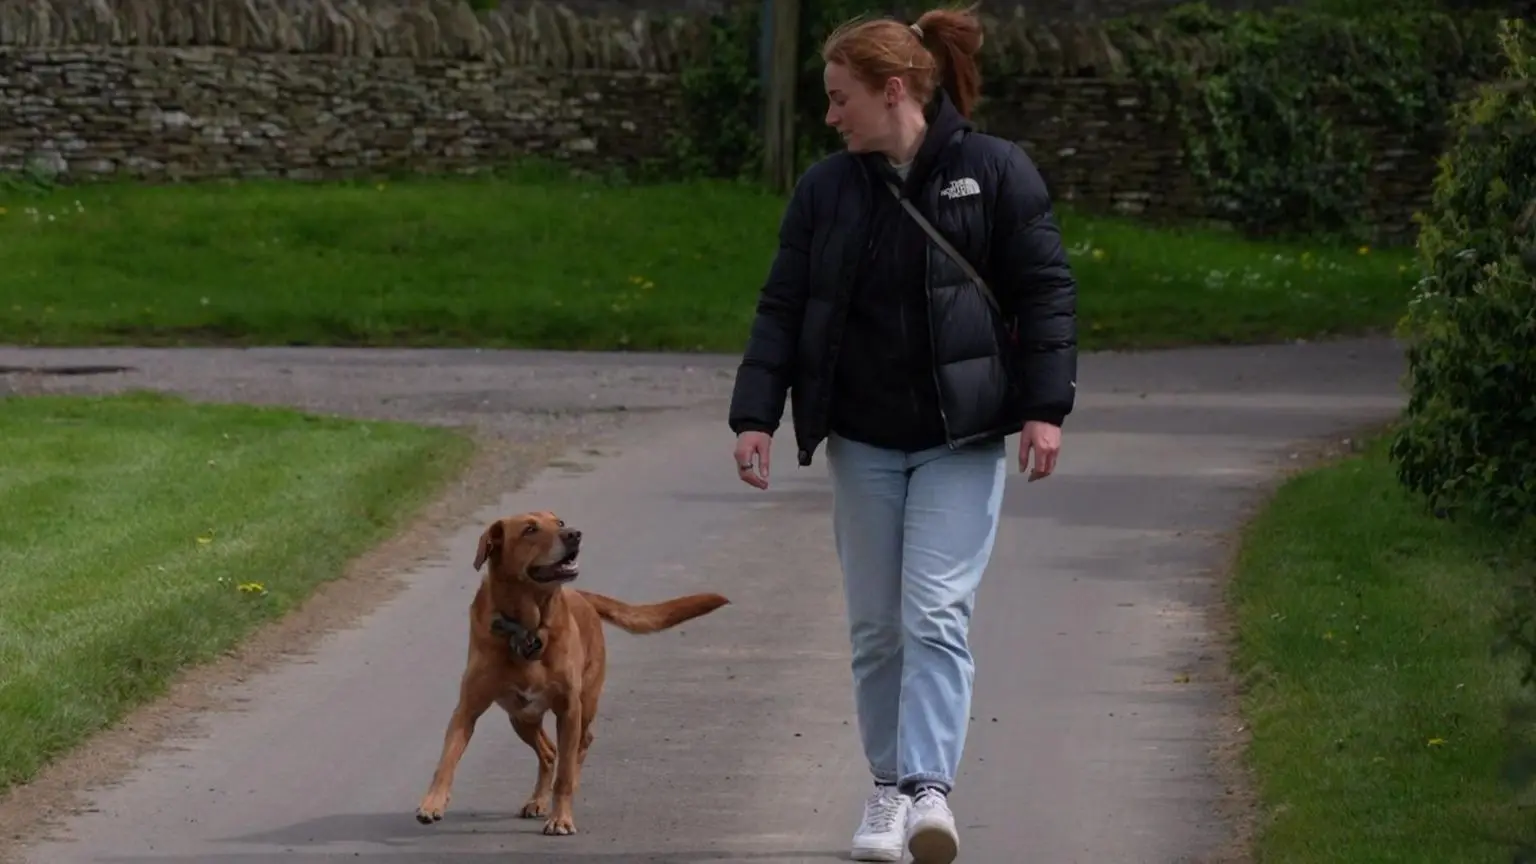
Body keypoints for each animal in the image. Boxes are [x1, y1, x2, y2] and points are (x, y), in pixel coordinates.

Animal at [411, 507, 728, 830]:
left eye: (559, 522)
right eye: (530, 529)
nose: (574, 534)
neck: (528, 628)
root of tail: (584, 595)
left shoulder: (568, 708)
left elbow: (564, 773)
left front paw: (561, 818)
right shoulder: (468, 708)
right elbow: (446, 760)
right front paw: (432, 803)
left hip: (584, 703)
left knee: (579, 746)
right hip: (521, 716)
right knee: (549, 752)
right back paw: (538, 800)